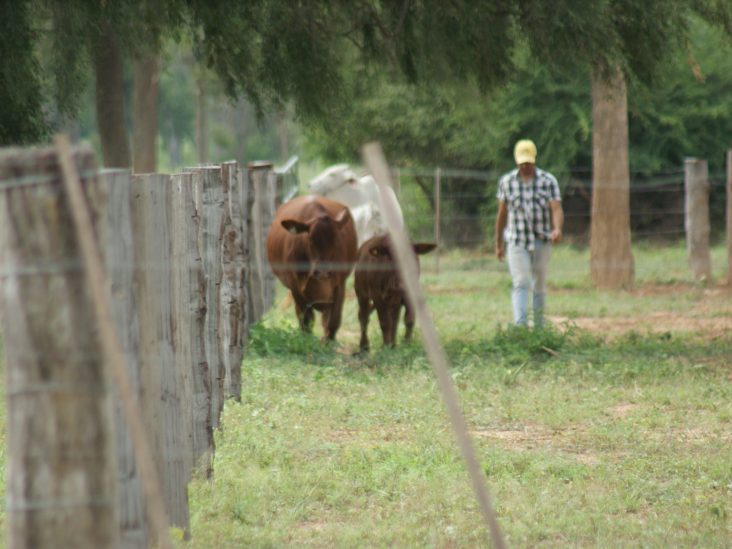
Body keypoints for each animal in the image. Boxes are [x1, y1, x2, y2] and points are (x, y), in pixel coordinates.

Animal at [266, 193, 358, 338]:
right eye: (310, 239)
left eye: (337, 240)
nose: (322, 272)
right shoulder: (295, 286)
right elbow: (306, 321)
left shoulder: (339, 285)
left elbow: (332, 323)